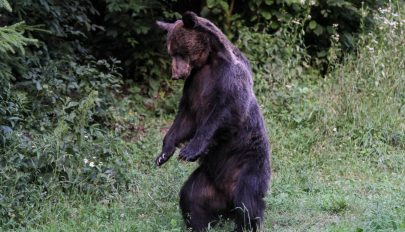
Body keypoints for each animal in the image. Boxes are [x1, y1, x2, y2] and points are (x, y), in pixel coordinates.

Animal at [155, 11, 272, 232]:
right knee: (191, 197)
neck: (208, 62)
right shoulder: (194, 85)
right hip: (206, 179)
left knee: (247, 201)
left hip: (247, 164)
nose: (175, 74)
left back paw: (244, 225)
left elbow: (222, 114)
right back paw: (199, 224)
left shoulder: (229, 80)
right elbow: (185, 120)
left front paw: (189, 151)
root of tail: (226, 196)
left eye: (179, 52)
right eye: (170, 52)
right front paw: (163, 153)